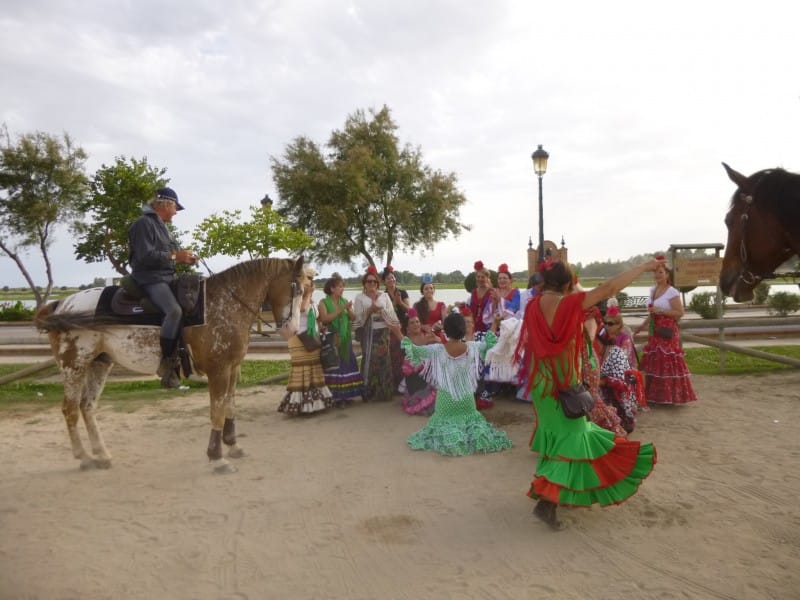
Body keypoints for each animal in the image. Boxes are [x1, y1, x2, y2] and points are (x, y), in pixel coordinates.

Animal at [33, 256, 306, 474]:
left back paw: (102, 455)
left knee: (87, 407)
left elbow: (230, 406)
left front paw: (233, 446)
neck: (224, 304)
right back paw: (85, 458)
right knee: (70, 410)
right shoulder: (219, 370)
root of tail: (61, 304)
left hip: (99, 364)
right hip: (74, 365)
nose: (292, 329)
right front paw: (217, 458)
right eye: (298, 289)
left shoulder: (233, 368)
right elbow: (216, 411)